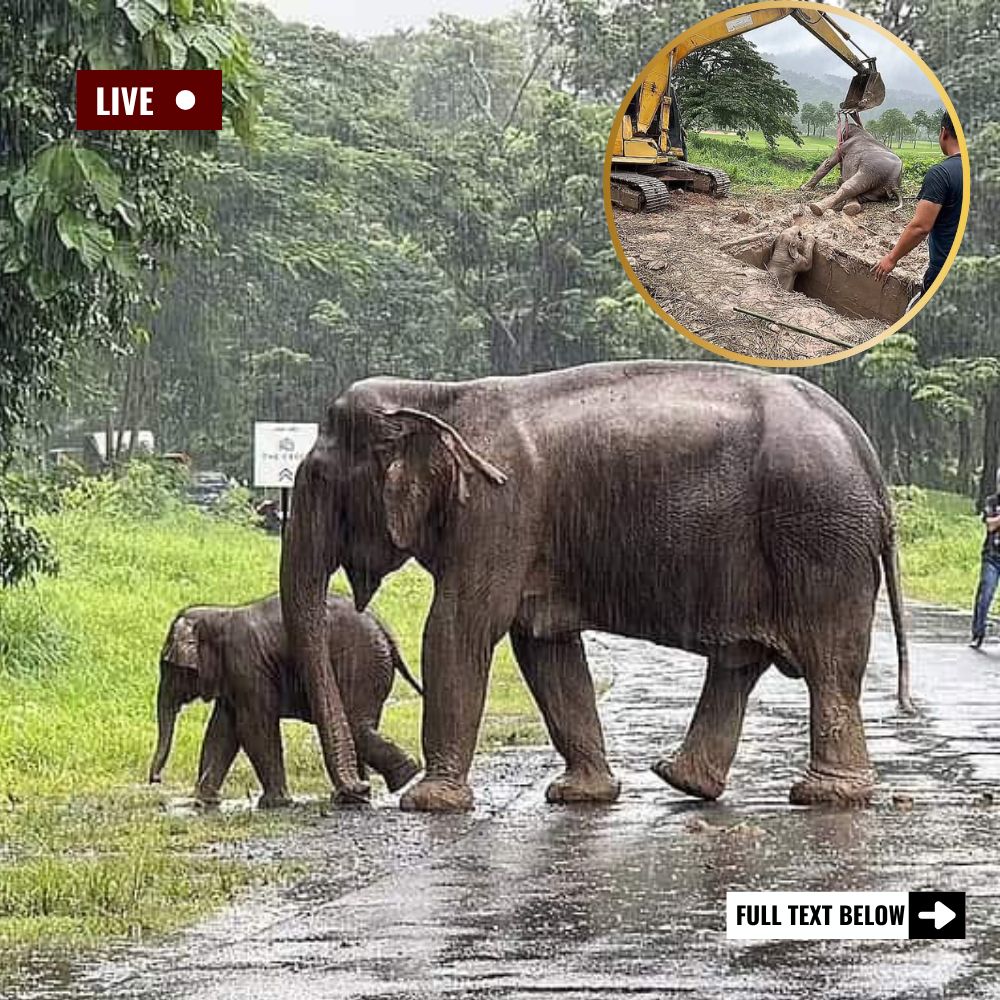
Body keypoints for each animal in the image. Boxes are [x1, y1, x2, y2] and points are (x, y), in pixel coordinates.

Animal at [148, 588, 422, 808]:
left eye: (168, 666)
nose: (156, 780)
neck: (218, 615)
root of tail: (385, 629)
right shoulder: (233, 676)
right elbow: (222, 730)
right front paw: (204, 801)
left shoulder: (246, 664)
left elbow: (252, 727)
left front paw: (273, 804)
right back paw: (360, 794)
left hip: (361, 664)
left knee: (356, 725)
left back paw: (404, 777)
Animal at [280, 360, 908, 812]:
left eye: (319, 479)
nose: (356, 794)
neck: (435, 396)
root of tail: (868, 457)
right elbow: (544, 648)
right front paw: (579, 796)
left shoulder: (498, 511)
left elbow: (459, 628)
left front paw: (429, 803)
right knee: (742, 659)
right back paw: (684, 781)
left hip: (818, 536)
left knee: (829, 661)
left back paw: (824, 796)